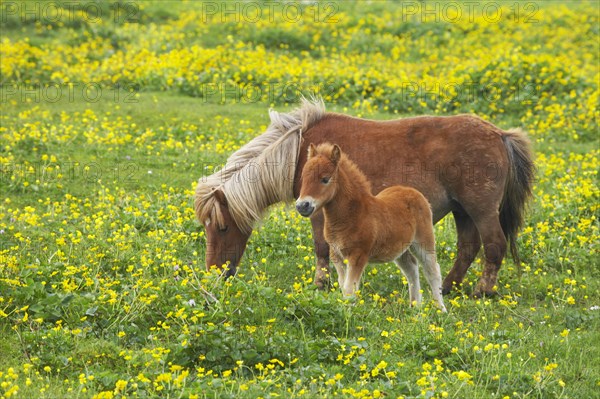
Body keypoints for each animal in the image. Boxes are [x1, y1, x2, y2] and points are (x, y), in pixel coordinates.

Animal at [196, 97, 536, 296]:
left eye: (222, 228)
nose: (214, 274)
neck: (297, 153)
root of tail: (501, 135)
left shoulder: (317, 212)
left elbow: (322, 248)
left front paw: (322, 284)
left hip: (480, 210)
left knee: (494, 246)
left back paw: (483, 291)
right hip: (462, 211)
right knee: (467, 248)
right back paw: (448, 287)